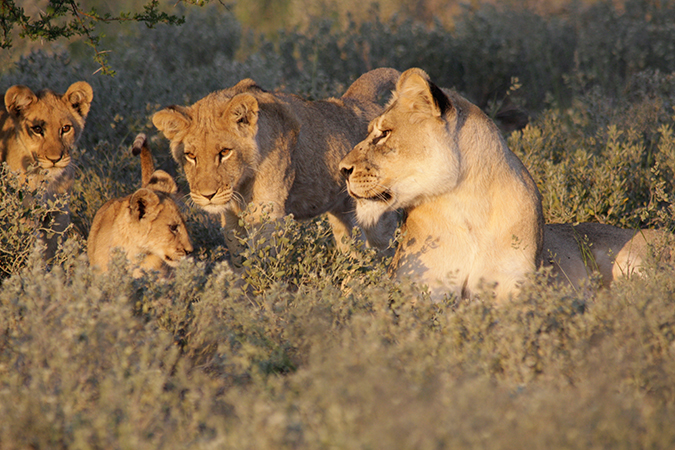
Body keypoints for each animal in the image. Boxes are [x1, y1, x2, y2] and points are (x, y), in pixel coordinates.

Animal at [1, 81, 94, 259]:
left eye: (66, 128)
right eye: (37, 129)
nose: (54, 159)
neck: (47, 182)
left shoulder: (59, 212)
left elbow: (51, 249)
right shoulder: (26, 212)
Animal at [151, 68, 401, 259]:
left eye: (224, 152)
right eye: (190, 156)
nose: (207, 195)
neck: (241, 183)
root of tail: (358, 100)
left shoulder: (266, 212)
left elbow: (261, 259)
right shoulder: (231, 218)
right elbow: (240, 260)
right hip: (343, 213)